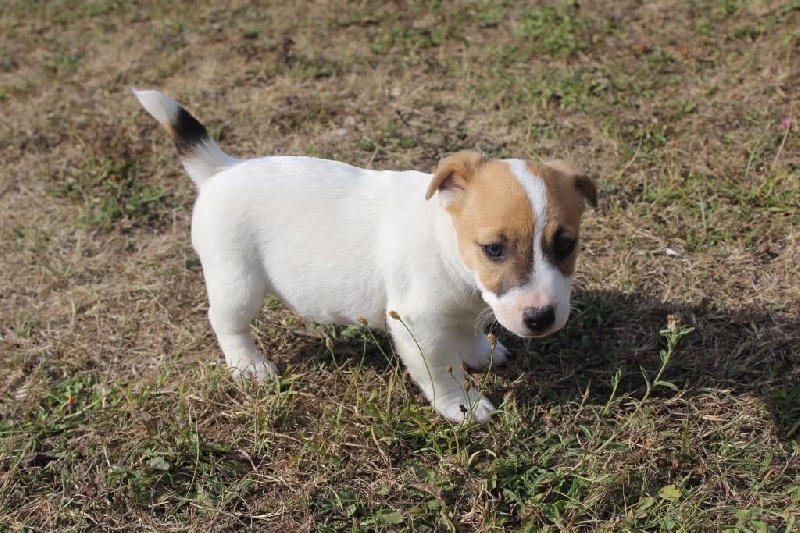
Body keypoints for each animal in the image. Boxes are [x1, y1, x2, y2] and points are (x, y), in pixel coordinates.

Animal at [133, 89, 597, 422]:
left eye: (565, 244)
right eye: (494, 249)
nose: (540, 319)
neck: (446, 242)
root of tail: (220, 169)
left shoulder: (465, 306)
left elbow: (467, 331)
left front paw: (481, 353)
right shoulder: (418, 326)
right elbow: (441, 371)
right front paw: (463, 406)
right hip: (237, 281)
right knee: (226, 323)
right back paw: (248, 366)